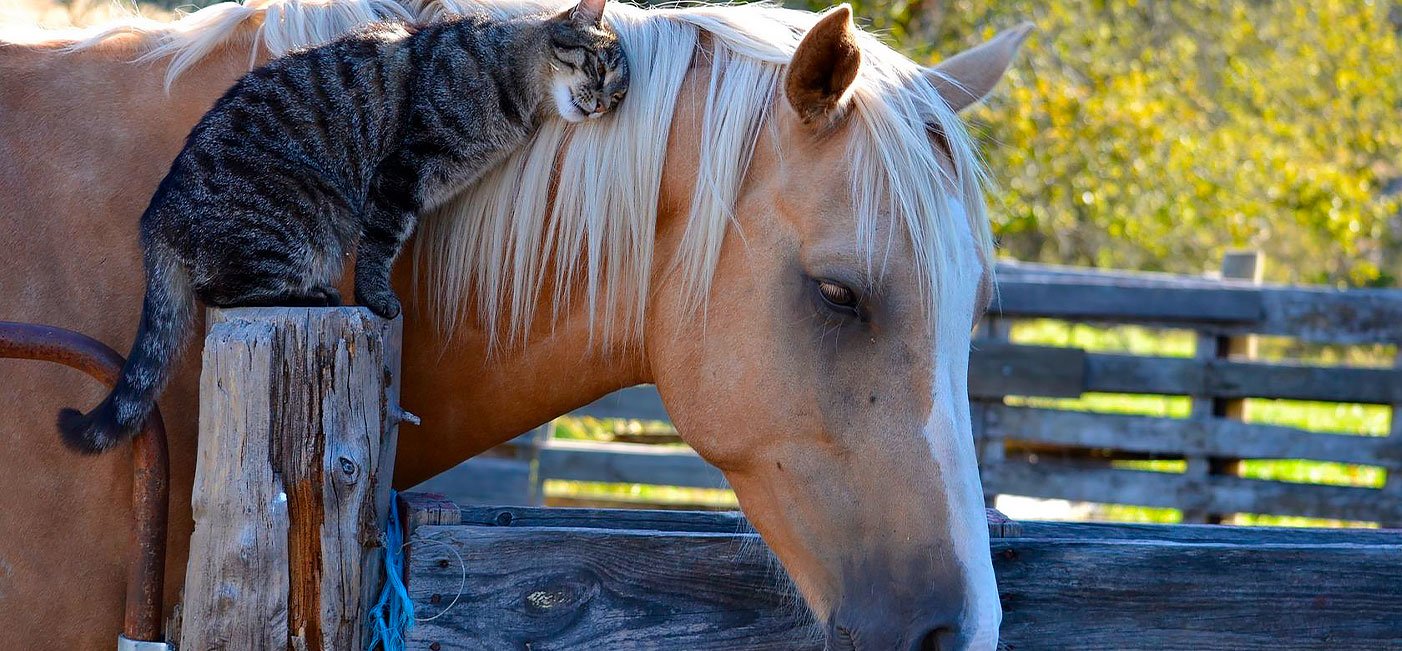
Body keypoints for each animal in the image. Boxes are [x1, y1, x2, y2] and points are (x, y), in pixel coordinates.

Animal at [58, 0, 630, 451]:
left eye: (619, 95)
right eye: (600, 67)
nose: (603, 104)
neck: (510, 78)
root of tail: (156, 218)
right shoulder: (401, 174)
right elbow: (381, 246)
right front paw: (377, 298)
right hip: (307, 216)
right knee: (222, 292)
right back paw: (315, 294)